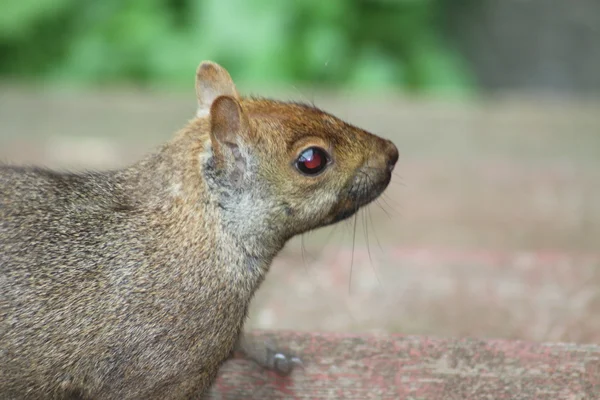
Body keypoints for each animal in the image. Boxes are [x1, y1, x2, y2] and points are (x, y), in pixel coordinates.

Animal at [0, 61, 398, 398]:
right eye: (312, 160)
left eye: (305, 105)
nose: (392, 152)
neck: (197, 232)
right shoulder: (165, 371)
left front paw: (266, 352)